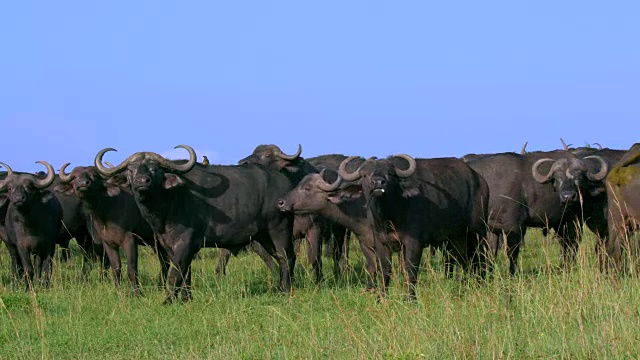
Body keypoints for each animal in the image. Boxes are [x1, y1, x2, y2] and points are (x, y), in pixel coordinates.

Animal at [0, 161, 62, 290]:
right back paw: (17, 282)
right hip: (10, 245)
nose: (18, 198)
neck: (31, 226)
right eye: (10, 188)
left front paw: (44, 286)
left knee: (38, 265)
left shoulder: (49, 245)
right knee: (16, 262)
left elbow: (46, 268)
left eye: (28, 187)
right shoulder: (22, 246)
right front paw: (29, 288)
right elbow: (28, 269)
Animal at [53, 165, 170, 294]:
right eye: (75, 177)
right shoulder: (108, 243)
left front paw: (137, 293)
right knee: (165, 262)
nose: (83, 183)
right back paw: (161, 287)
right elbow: (116, 268)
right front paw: (118, 291)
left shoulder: (130, 241)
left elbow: (132, 269)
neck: (107, 213)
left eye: (94, 176)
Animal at [93, 145, 298, 302]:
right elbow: (186, 273)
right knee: (281, 258)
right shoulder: (170, 245)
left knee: (286, 257)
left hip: (279, 229)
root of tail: (285, 184)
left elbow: (175, 273)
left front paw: (168, 300)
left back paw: (286, 290)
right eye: (131, 169)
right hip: (264, 236)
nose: (142, 181)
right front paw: (185, 298)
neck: (169, 201)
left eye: (154, 168)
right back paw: (281, 288)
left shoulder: (186, 242)